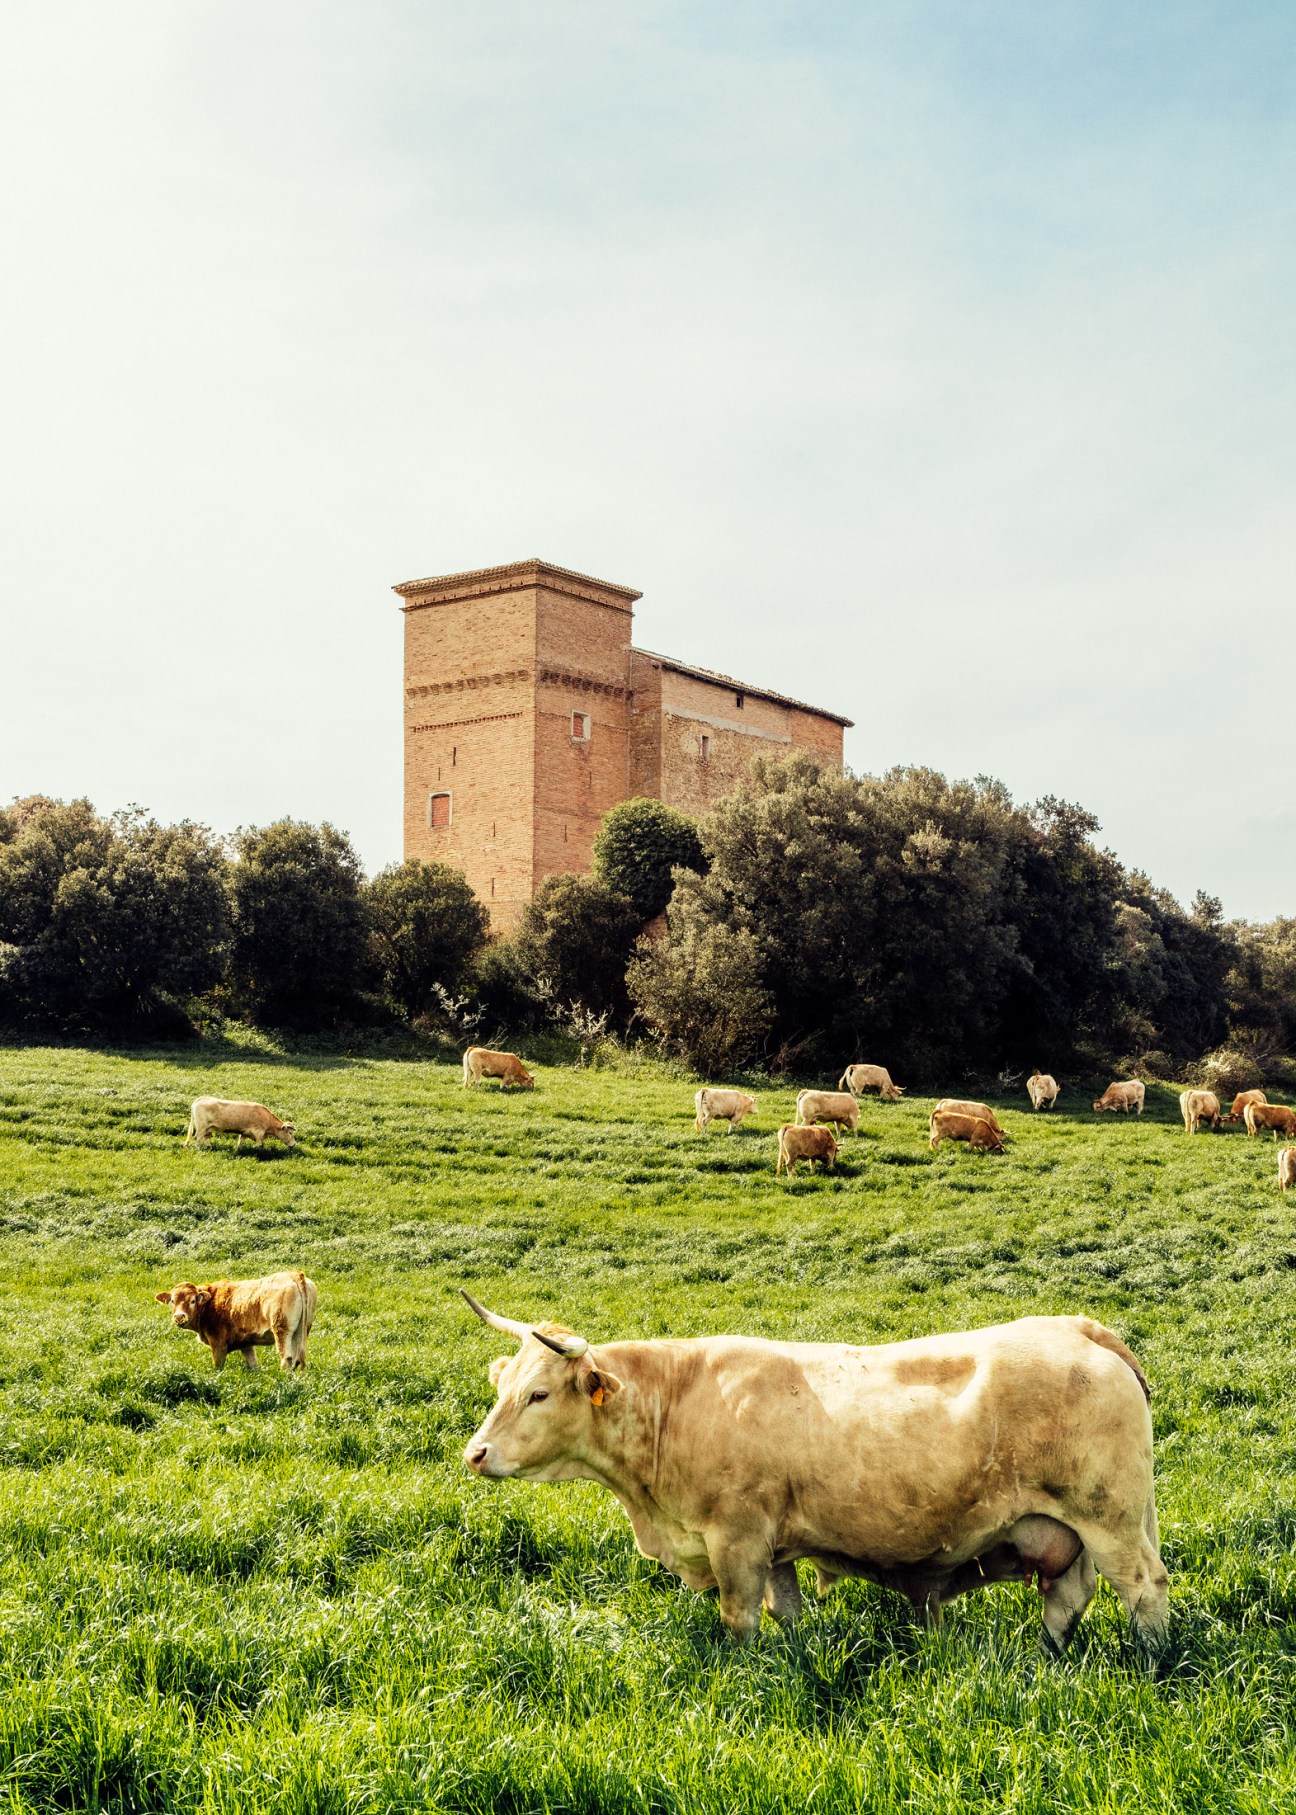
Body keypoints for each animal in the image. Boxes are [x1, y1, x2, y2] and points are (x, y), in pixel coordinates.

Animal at [155, 1271, 316, 1372]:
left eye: (192, 1301)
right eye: (173, 1301)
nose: (179, 1317)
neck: (210, 1302)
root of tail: (294, 1274)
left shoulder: (218, 1344)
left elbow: (218, 1366)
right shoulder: (246, 1343)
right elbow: (253, 1364)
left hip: (282, 1331)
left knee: (287, 1359)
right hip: (301, 1331)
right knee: (298, 1359)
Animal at [460, 1293, 1168, 1657]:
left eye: (539, 1394)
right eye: (502, 1383)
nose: (476, 1454)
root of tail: (1079, 1327)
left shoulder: (736, 1540)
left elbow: (740, 1619)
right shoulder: (774, 1546)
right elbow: (789, 1613)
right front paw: (798, 1659)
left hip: (1110, 1521)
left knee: (1145, 1590)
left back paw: (1153, 1663)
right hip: (1069, 1528)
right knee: (1069, 1596)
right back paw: (1048, 1657)